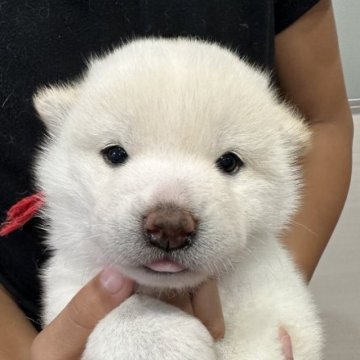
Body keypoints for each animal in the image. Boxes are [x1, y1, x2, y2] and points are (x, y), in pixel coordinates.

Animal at [33, 38, 324, 358]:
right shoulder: (69, 281)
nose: (170, 227)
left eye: (229, 162)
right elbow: (126, 308)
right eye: (115, 154)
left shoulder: (282, 305)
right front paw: (156, 342)